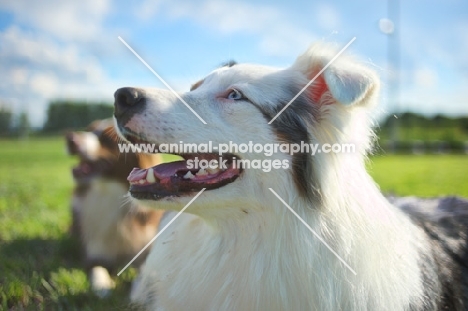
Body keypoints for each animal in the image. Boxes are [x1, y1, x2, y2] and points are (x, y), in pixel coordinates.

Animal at [66, 119, 164, 298]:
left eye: (107, 139)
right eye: (88, 130)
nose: (70, 139)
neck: (107, 192)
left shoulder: (146, 248)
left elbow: (145, 269)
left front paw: (138, 290)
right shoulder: (94, 254)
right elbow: (97, 269)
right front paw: (102, 287)